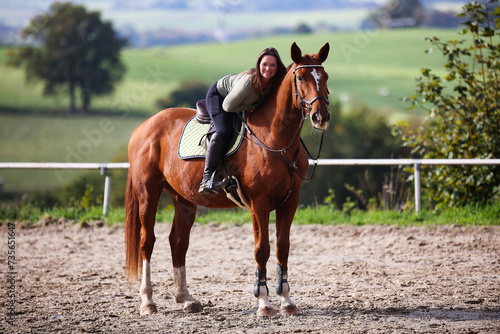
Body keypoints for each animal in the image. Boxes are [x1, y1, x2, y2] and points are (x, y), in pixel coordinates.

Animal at [125, 41, 330, 316]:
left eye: (325, 77)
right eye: (300, 78)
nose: (321, 117)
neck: (276, 139)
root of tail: (144, 126)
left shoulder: (290, 201)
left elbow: (282, 248)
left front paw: (287, 301)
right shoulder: (259, 204)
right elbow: (262, 250)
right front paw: (264, 303)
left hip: (184, 199)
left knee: (178, 242)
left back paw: (186, 299)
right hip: (148, 193)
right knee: (147, 242)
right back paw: (147, 301)